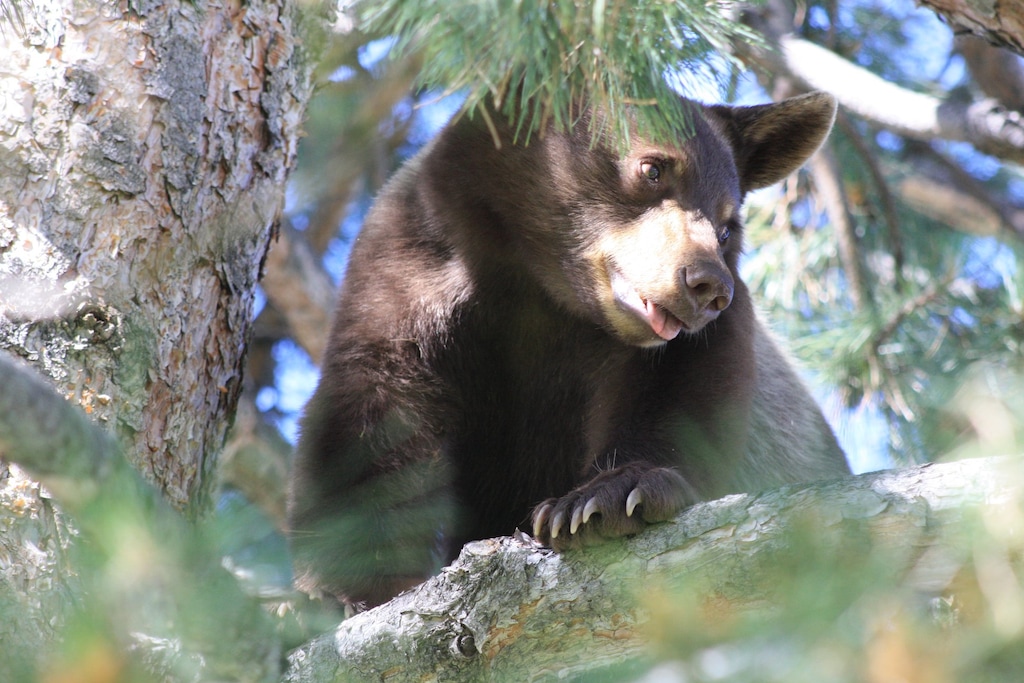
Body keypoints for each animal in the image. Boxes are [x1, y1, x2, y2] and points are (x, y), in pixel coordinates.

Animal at [286, 91, 851, 610]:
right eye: (652, 168)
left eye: (727, 224)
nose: (707, 284)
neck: (543, 290)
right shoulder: (411, 270)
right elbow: (376, 412)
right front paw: (350, 587)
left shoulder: (679, 346)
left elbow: (685, 393)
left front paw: (604, 499)